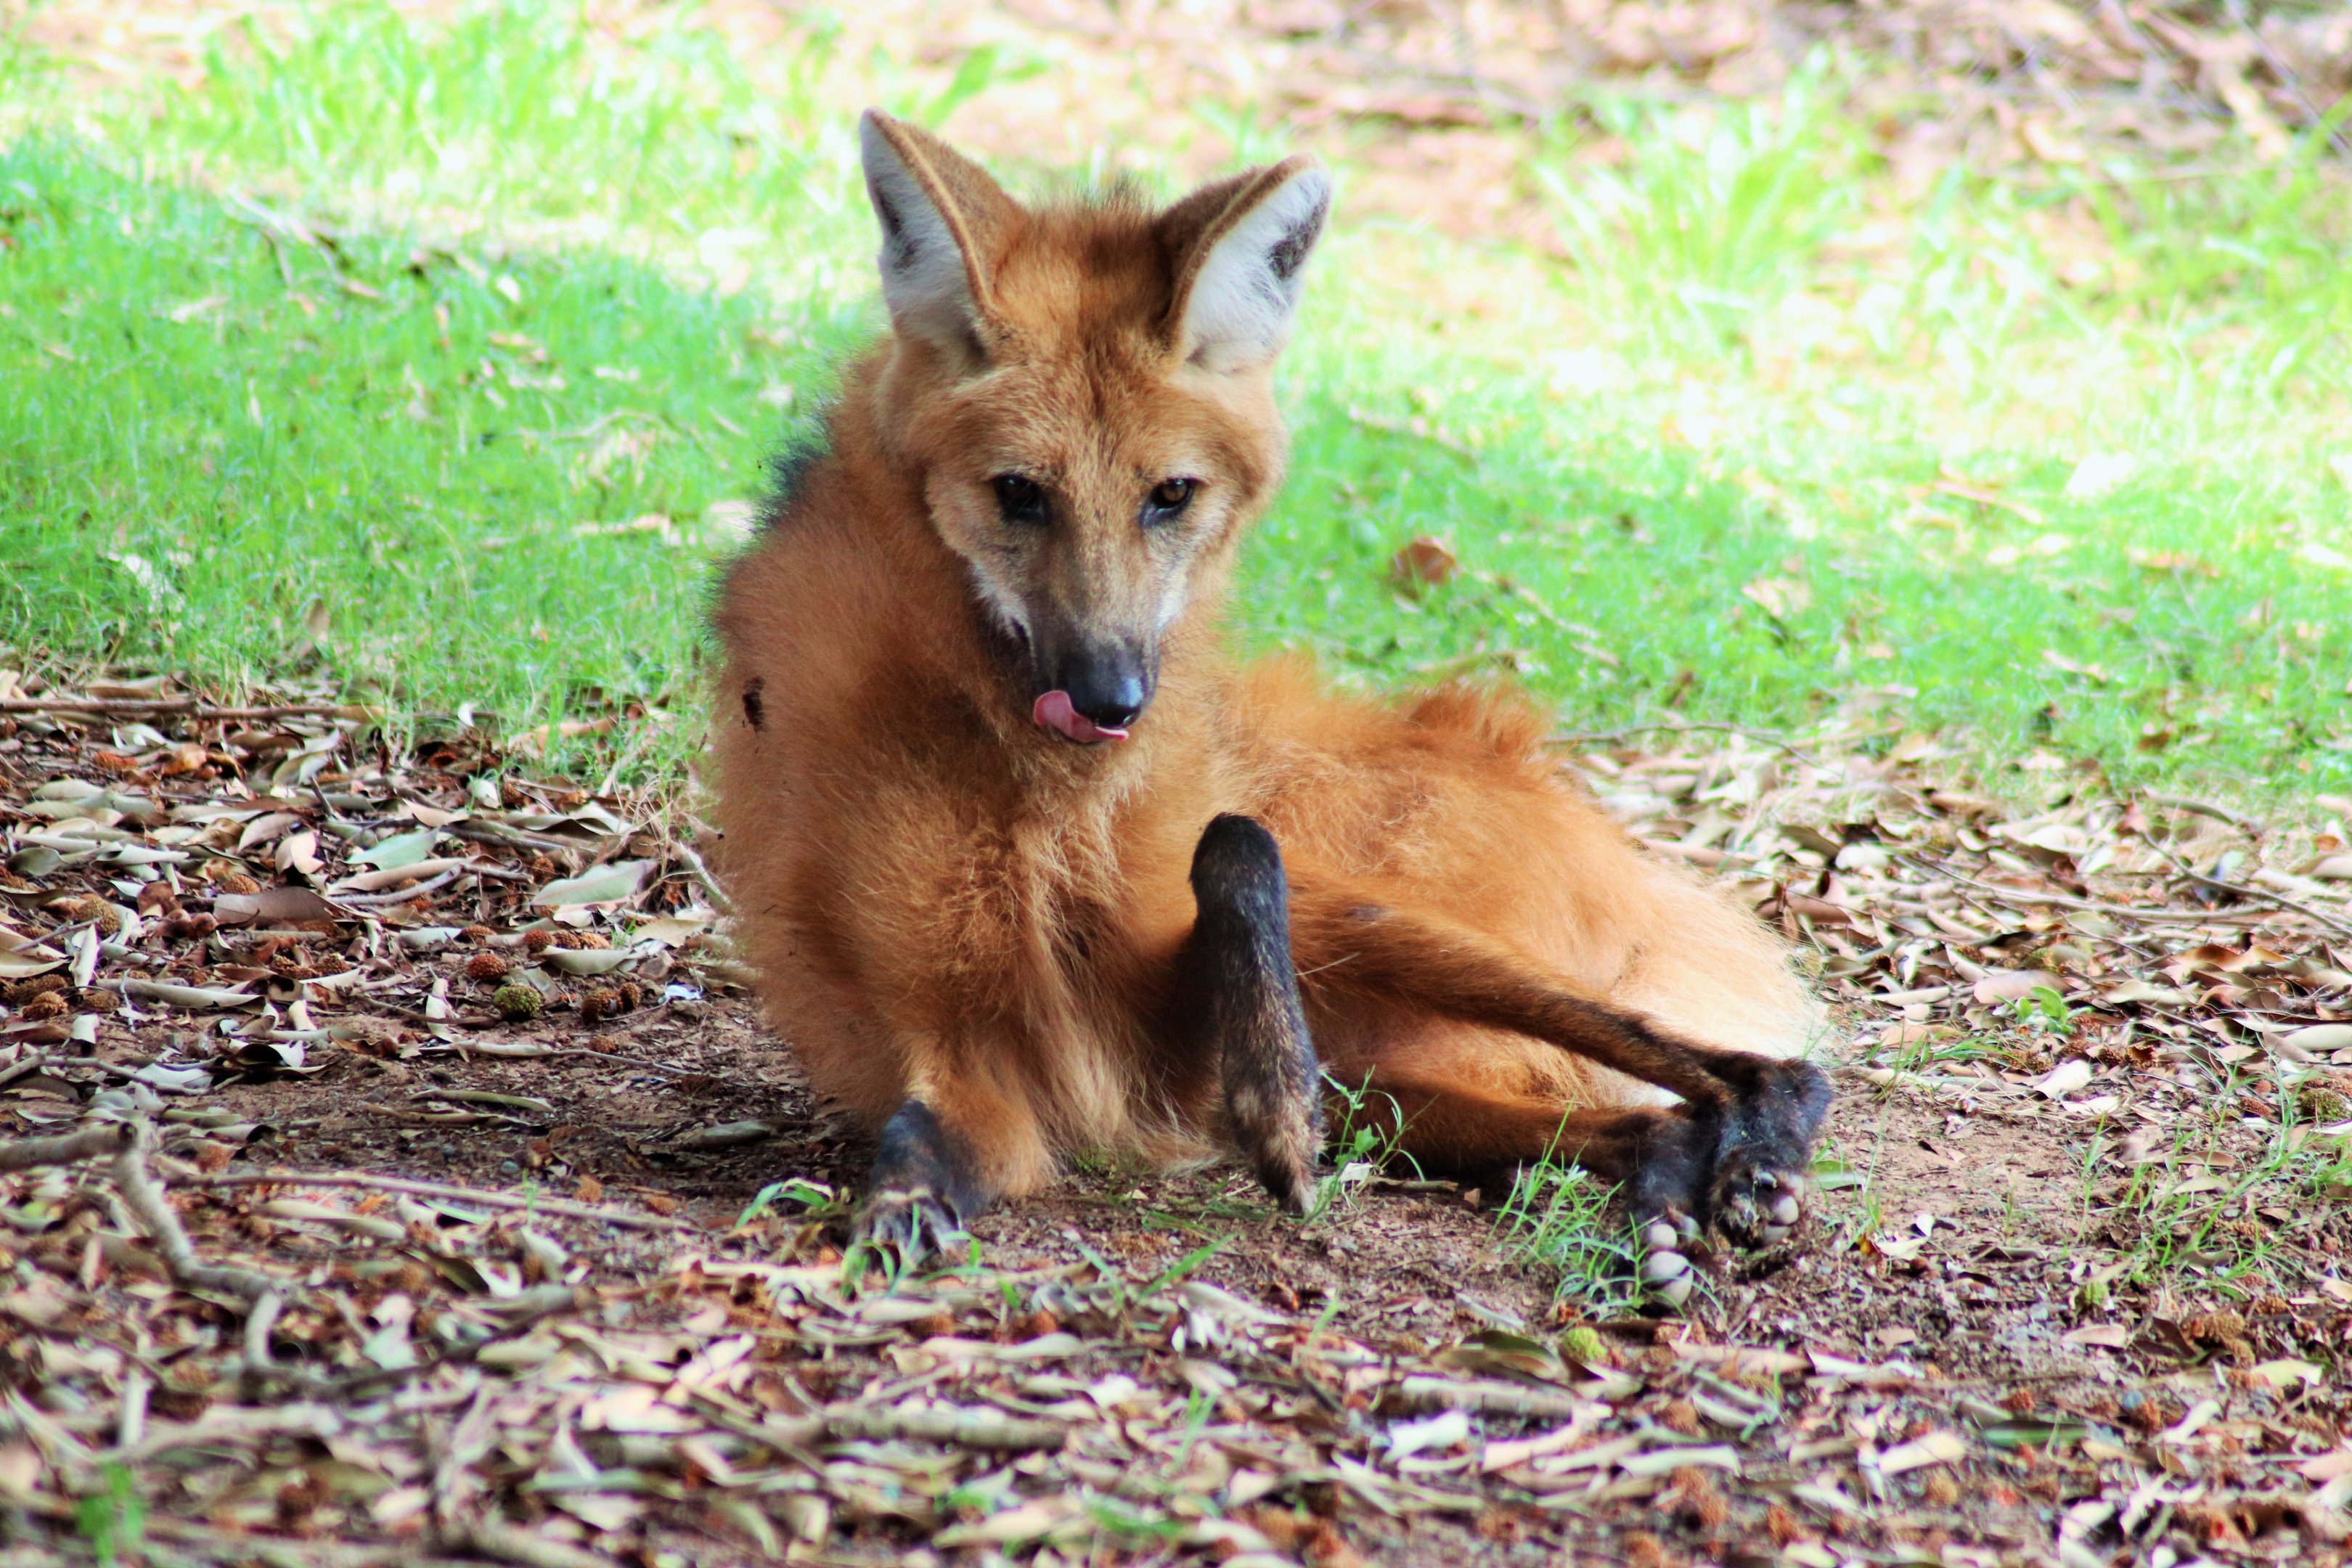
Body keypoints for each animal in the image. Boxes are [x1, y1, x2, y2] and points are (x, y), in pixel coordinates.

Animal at [711, 111, 1829, 1300]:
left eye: (1171, 496)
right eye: (1019, 494)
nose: (1113, 697)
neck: (1042, 795)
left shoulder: (1152, 1030)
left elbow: (1237, 850)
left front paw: (1278, 1111)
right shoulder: (962, 1054)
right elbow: (920, 1141)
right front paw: (896, 1221)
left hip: (1374, 931)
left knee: (1756, 1068)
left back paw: (1752, 1168)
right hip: (1388, 1083)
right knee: (1639, 1119)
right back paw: (1666, 1204)